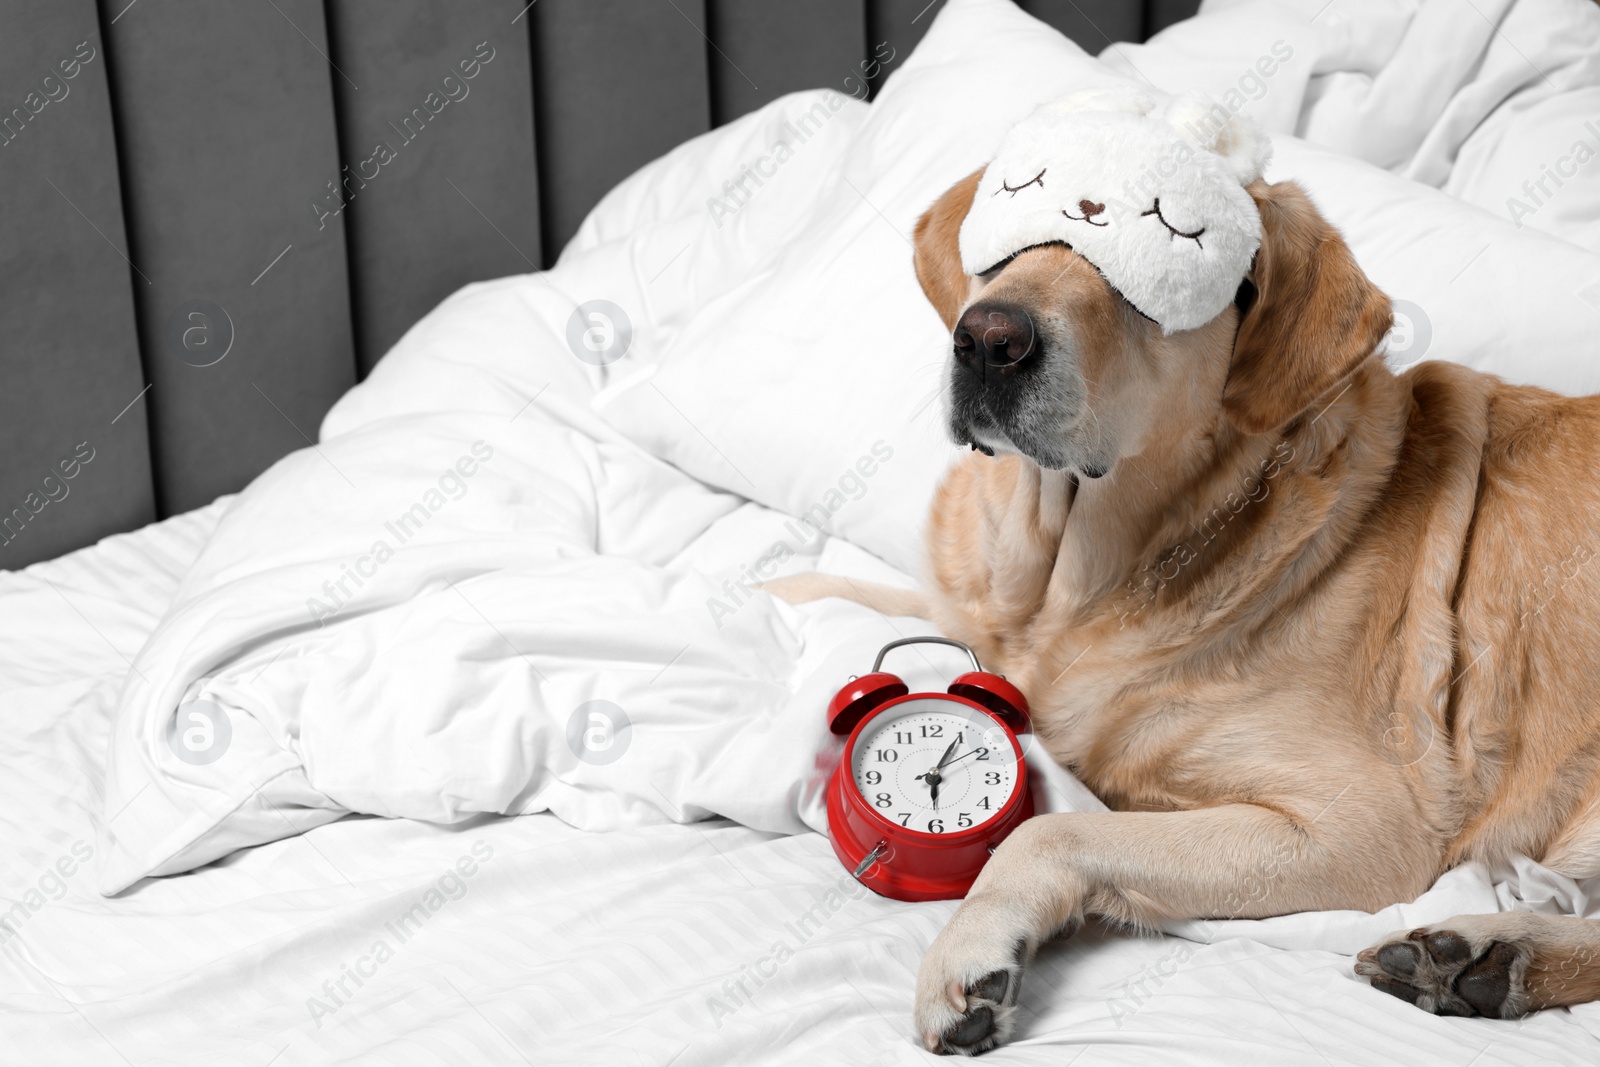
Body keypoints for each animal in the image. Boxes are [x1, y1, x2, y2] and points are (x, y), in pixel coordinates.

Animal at [768, 171, 1600, 1055]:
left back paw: (1491, 954)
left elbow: (1053, 829)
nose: (990, 339)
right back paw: (1487, 959)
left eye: (1154, 260)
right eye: (1009, 231)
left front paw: (973, 942)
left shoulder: (1357, 826)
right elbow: (837, 590)